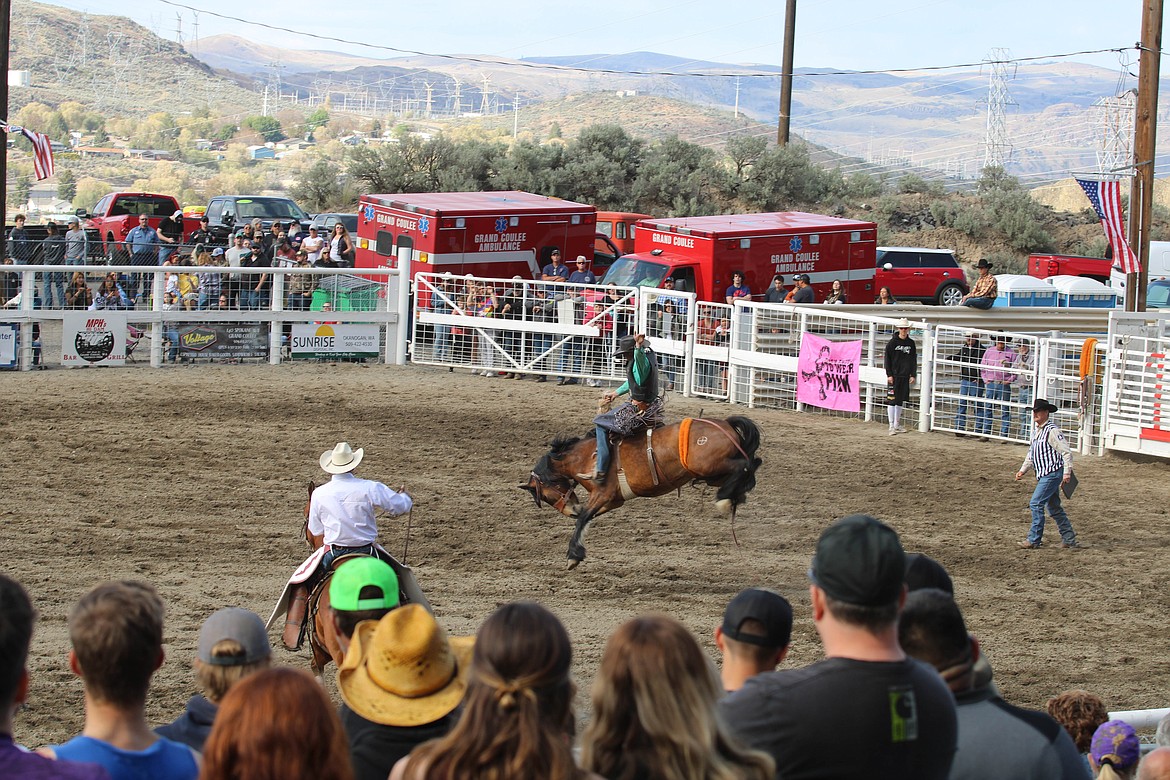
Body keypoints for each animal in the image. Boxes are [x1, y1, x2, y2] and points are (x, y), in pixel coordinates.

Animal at [524, 413, 762, 568]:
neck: (585, 457)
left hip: (709, 466)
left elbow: (583, 518)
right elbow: (586, 517)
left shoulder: (602, 494)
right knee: (751, 466)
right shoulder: (613, 500)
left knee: (745, 464)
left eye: (546, 495)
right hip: (712, 474)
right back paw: (734, 496)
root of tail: (725, 424)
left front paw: (573, 555)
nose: (570, 510)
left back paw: (725, 499)